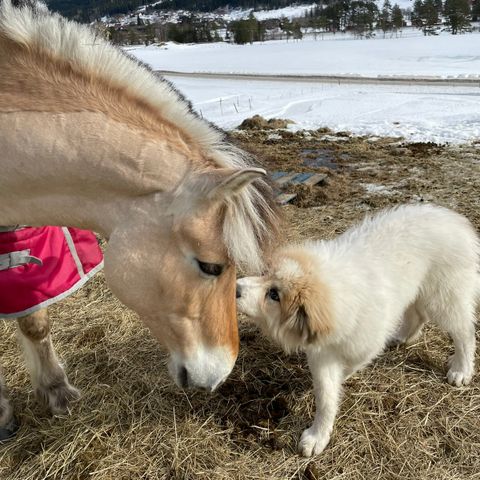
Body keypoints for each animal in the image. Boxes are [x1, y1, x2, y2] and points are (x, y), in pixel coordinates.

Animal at [237, 203, 480, 458]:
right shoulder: (322, 354)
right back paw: (402, 337)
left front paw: (342, 382)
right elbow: (326, 396)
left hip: (444, 297)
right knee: (417, 315)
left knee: (464, 332)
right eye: (264, 274)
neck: (337, 288)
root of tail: (455, 221)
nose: (236, 288)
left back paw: (461, 369)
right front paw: (318, 436)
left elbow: (348, 368)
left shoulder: (363, 346)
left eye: (274, 295)